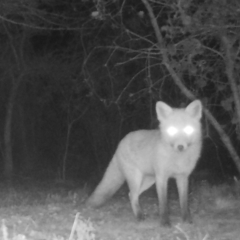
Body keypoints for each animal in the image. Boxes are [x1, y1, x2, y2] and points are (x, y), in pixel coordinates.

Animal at [86, 99, 202, 227]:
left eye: (188, 129)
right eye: (172, 130)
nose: (180, 146)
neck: (178, 159)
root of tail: (120, 143)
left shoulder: (182, 177)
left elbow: (184, 202)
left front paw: (186, 221)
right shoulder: (162, 177)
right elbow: (163, 203)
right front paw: (165, 223)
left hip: (149, 180)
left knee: (131, 194)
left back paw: (140, 214)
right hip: (137, 179)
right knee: (133, 195)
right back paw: (139, 216)